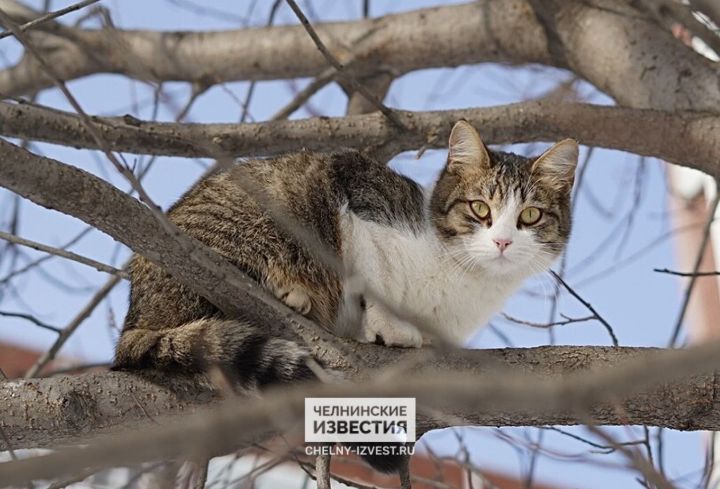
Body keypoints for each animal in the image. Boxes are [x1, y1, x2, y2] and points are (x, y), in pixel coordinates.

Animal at [114, 120, 580, 470]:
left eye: (530, 216)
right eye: (479, 209)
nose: (502, 242)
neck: (465, 278)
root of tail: (134, 318)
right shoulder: (358, 191)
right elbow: (372, 267)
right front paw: (389, 325)